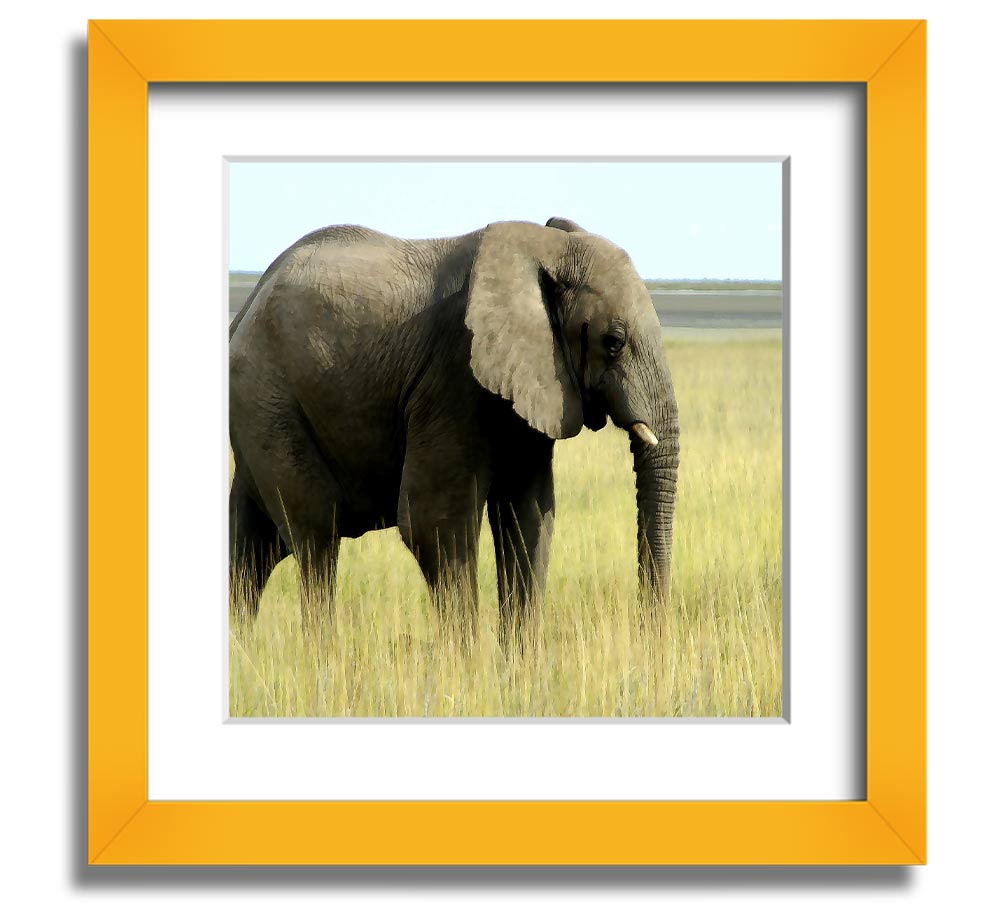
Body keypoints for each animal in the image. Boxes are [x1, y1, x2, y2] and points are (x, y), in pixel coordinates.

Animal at [229, 216, 679, 640]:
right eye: (614, 341)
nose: (647, 633)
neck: (543, 248)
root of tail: (248, 304)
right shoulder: (452, 375)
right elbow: (436, 526)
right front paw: (466, 663)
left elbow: (530, 515)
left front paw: (518, 666)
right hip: (268, 402)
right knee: (315, 536)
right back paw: (323, 656)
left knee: (253, 544)